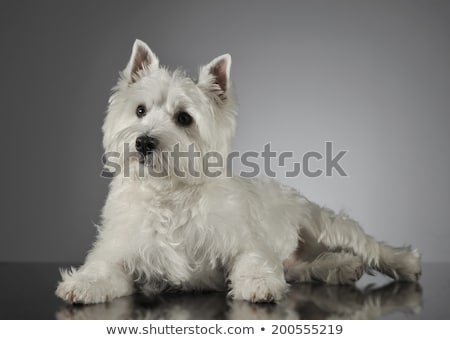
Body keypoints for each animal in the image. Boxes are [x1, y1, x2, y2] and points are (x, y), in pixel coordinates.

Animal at [56, 39, 422, 302]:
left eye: (184, 118)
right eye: (140, 110)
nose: (144, 142)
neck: (170, 193)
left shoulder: (243, 241)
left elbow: (253, 260)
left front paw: (258, 284)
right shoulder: (122, 251)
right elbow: (103, 269)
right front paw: (82, 284)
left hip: (323, 225)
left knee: (368, 246)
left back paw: (404, 262)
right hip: (304, 258)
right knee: (305, 267)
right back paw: (343, 266)